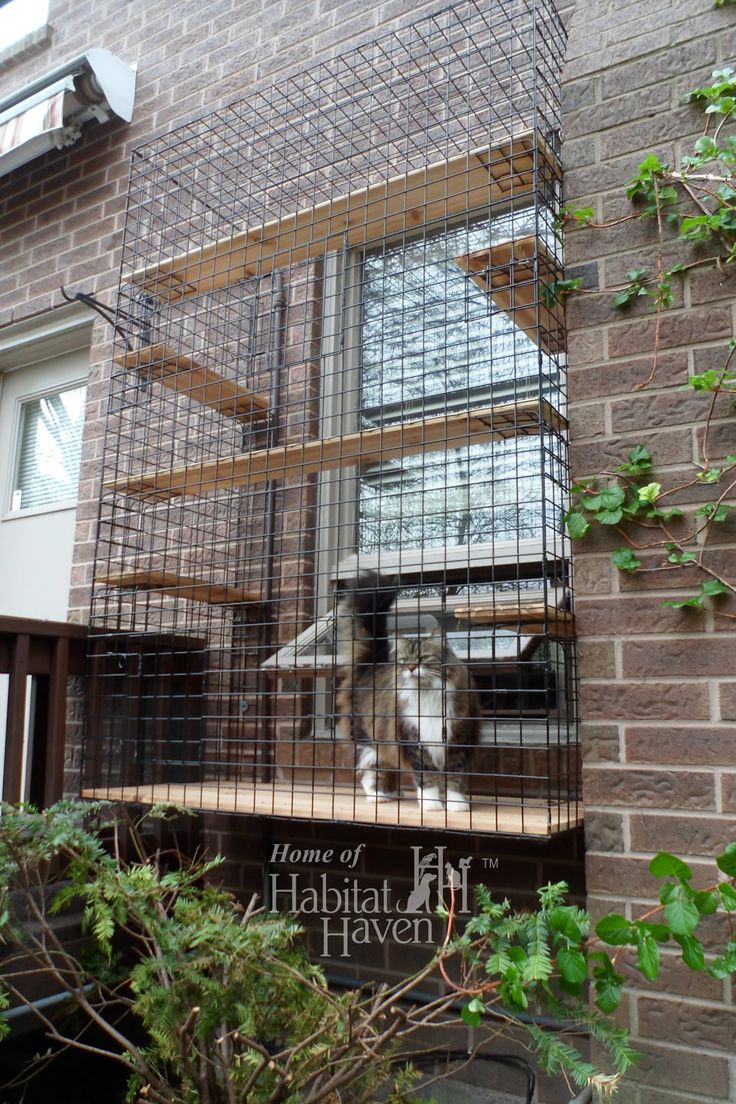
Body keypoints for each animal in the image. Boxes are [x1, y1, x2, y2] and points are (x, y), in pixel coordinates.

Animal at [333, 574, 478, 816]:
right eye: (404, 660)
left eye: (424, 658)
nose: (410, 668)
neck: (428, 695)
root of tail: (372, 664)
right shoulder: (415, 739)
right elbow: (426, 777)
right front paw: (431, 804)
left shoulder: (457, 738)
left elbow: (454, 778)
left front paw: (456, 805)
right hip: (368, 738)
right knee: (368, 771)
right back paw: (378, 797)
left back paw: (392, 793)